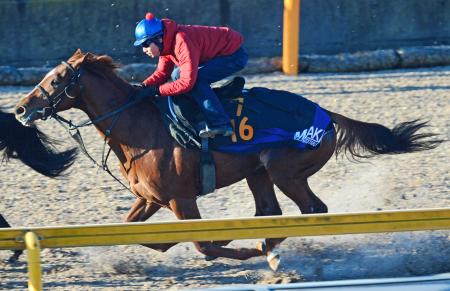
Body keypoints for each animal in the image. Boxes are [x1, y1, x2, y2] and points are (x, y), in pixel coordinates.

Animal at [13, 50, 440, 272]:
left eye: (55, 80)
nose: (20, 109)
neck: (139, 125)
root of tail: (326, 114)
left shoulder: (181, 200)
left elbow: (201, 245)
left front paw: (246, 251)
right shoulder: (148, 198)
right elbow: (137, 233)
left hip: (284, 170)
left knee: (311, 210)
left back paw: (269, 250)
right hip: (259, 173)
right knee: (269, 212)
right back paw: (264, 244)